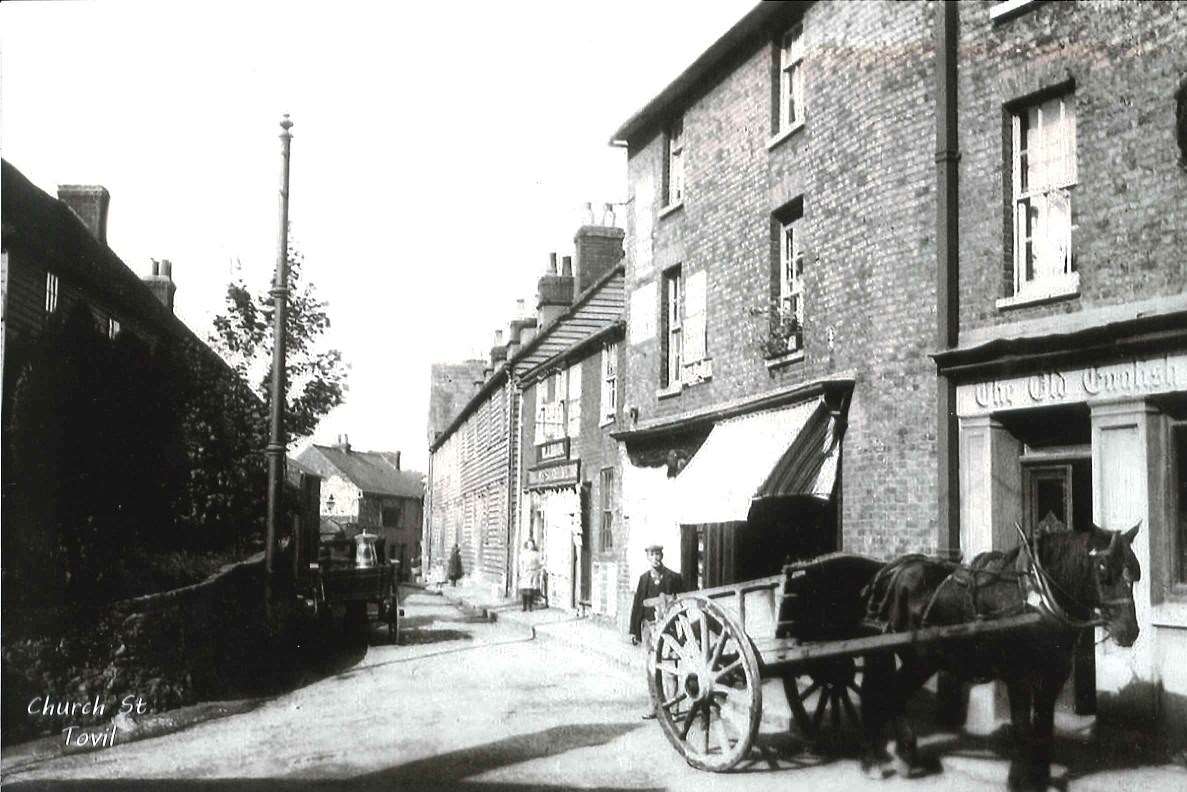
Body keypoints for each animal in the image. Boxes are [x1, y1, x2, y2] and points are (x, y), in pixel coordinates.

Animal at [854, 522, 1139, 788]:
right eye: (1102, 569)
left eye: (1134, 572)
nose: (1129, 630)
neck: (1037, 598)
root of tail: (895, 570)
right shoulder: (1018, 677)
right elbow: (1023, 729)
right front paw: (1018, 780)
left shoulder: (1053, 677)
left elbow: (1044, 728)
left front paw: (1040, 777)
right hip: (916, 657)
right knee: (886, 694)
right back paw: (878, 760)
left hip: (922, 659)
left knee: (893, 694)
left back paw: (902, 756)